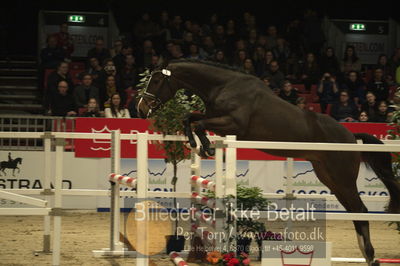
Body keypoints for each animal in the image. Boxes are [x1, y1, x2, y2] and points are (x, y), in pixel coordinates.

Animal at [137, 59, 400, 264]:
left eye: (157, 81)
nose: (140, 108)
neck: (223, 86)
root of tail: (351, 137)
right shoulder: (215, 118)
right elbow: (189, 117)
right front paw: (197, 144)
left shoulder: (233, 124)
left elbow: (198, 123)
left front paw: (206, 146)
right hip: (331, 178)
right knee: (355, 211)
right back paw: (367, 255)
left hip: (342, 178)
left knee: (360, 210)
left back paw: (371, 256)